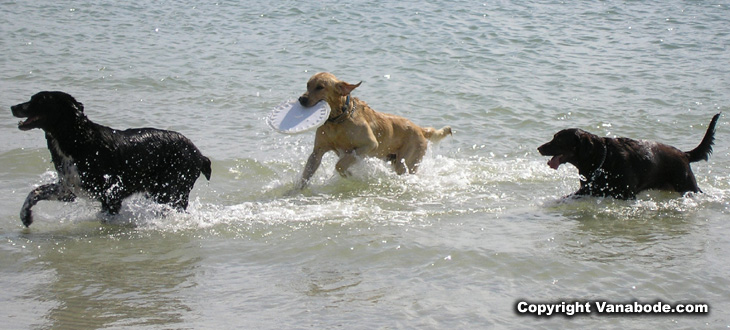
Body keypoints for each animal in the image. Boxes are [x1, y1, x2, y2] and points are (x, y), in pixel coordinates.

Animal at [11, 91, 210, 228]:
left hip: (171, 191)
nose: (13, 107)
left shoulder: (111, 195)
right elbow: (34, 192)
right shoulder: (69, 189)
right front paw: (25, 215)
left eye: (39, 100)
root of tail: (200, 155)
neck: (77, 139)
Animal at [536, 113, 720, 199]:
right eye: (554, 137)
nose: (539, 148)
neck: (602, 160)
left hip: (687, 185)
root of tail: (684, 154)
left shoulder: (626, 194)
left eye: (559, 139)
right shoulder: (588, 190)